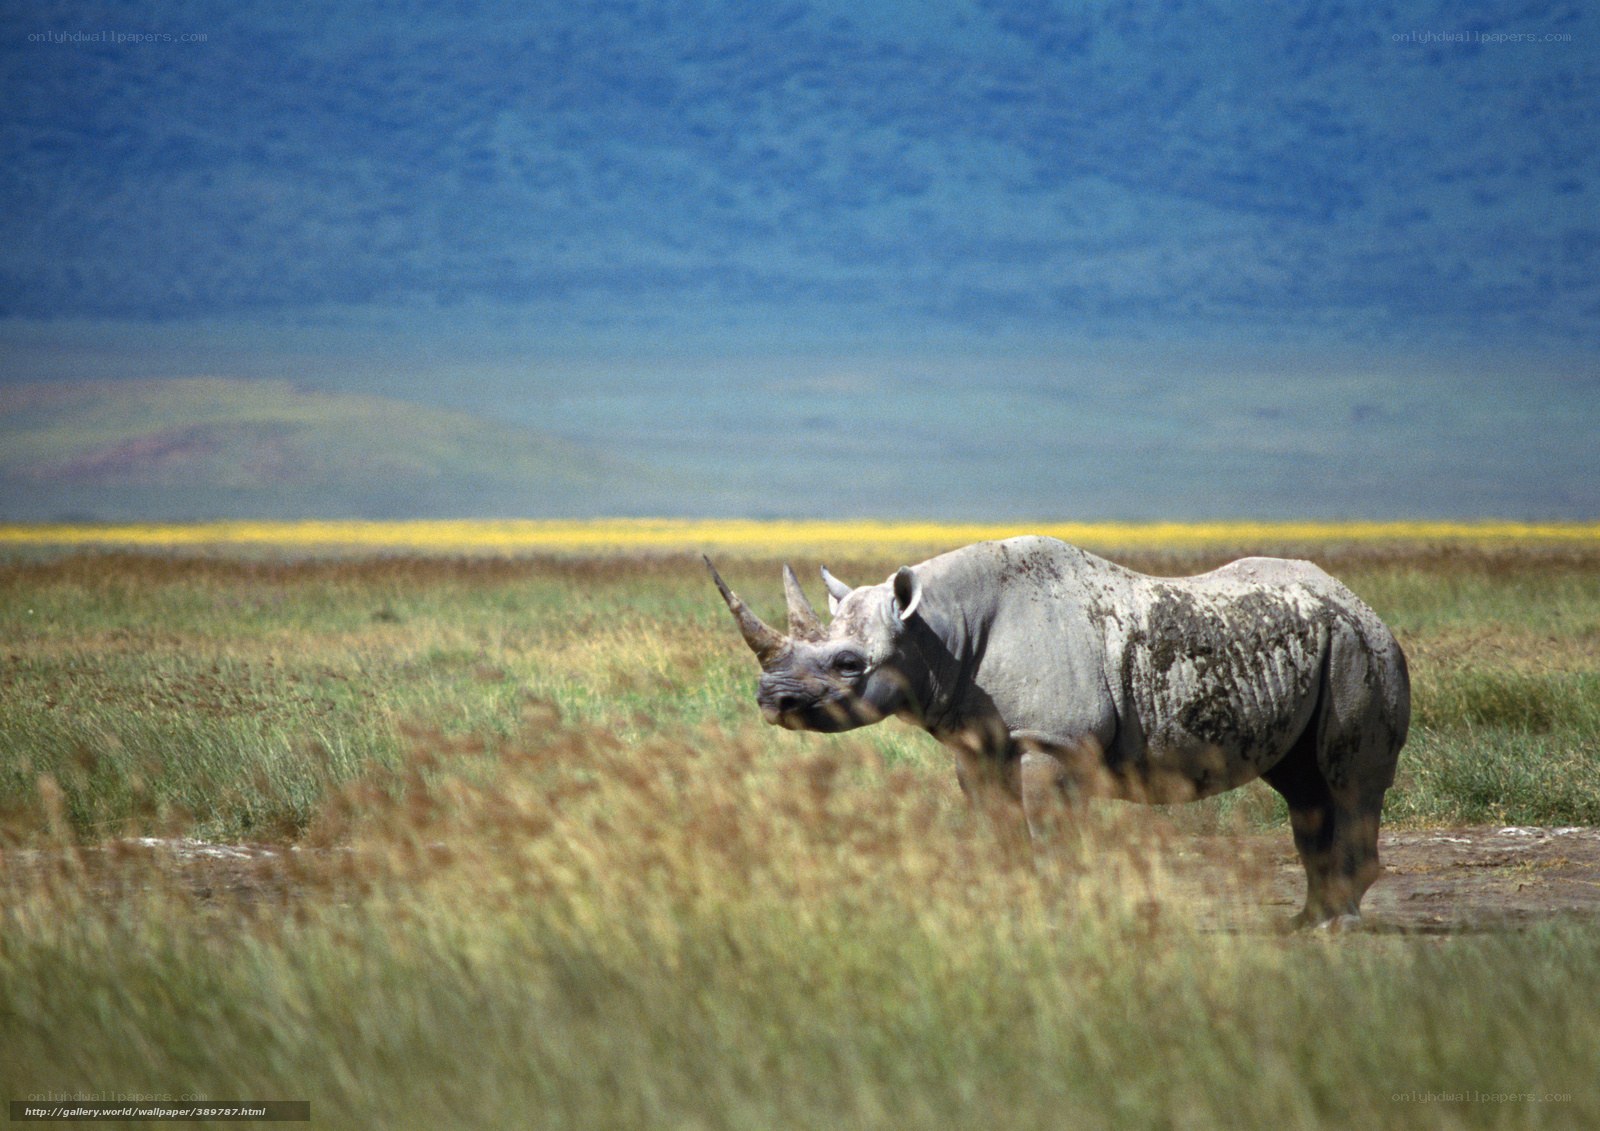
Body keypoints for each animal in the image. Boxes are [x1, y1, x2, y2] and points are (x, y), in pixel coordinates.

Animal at [706, 536, 1410, 929]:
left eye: (849, 664)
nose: (771, 700)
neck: (935, 630)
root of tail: (1364, 604)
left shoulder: (1052, 740)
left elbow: (1050, 835)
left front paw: (1057, 917)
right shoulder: (976, 742)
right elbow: (996, 831)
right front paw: (1008, 913)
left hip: (1362, 649)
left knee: (1346, 782)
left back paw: (1335, 928)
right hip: (1326, 644)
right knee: (1302, 788)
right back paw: (1304, 923)